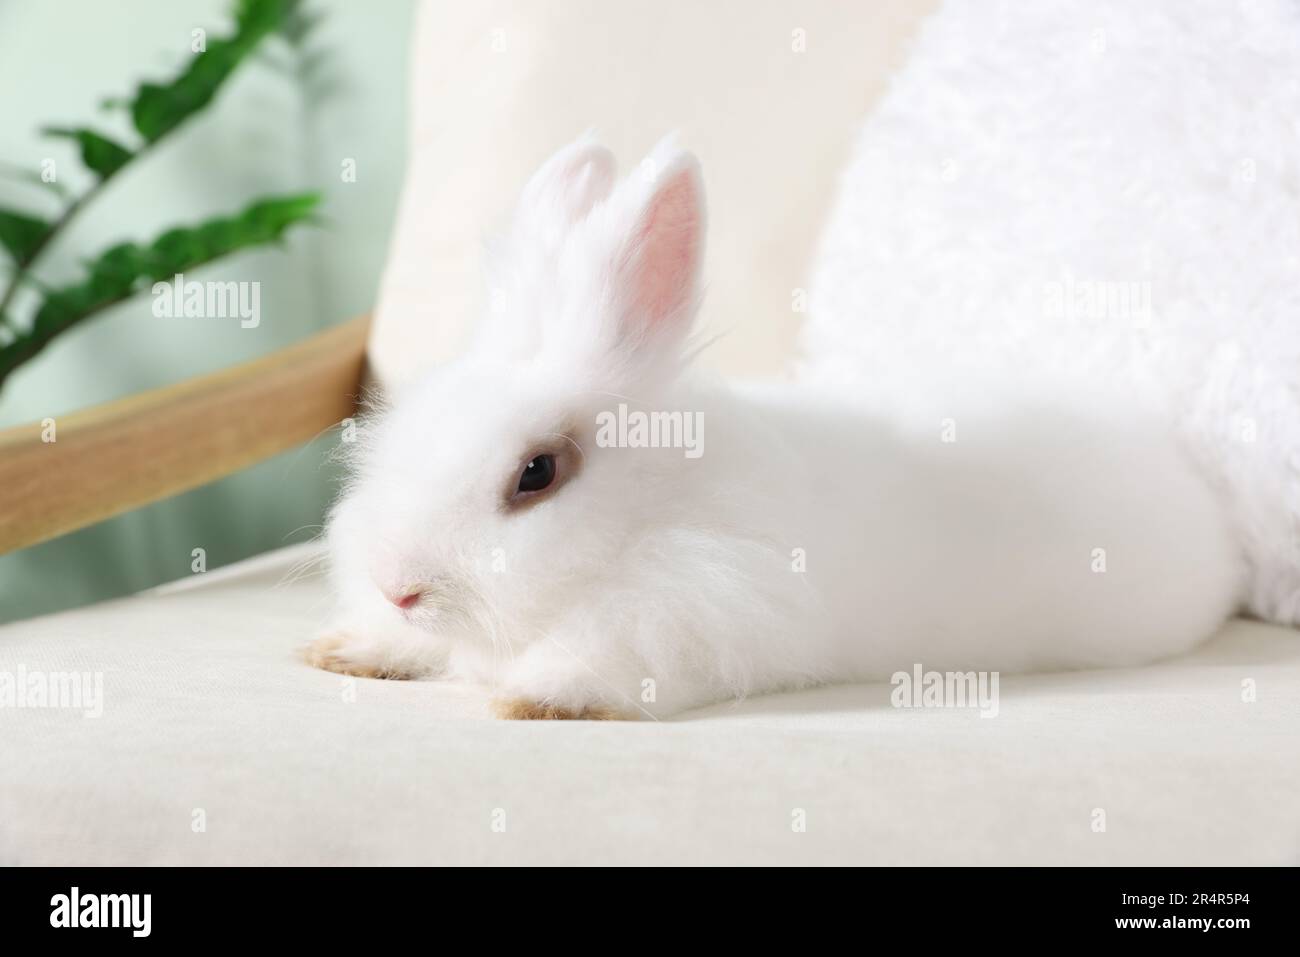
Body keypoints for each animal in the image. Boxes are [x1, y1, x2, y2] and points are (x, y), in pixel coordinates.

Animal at [306, 135, 1244, 719]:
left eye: (537, 472)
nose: (399, 585)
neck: (659, 506)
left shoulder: (697, 606)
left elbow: (600, 653)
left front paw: (537, 695)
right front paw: (347, 649)